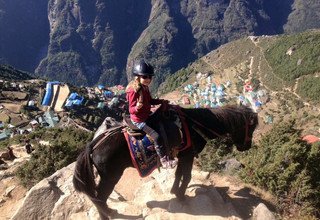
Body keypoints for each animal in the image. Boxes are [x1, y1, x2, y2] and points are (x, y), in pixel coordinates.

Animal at [72, 105, 258, 219]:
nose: (246, 147)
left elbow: (178, 174)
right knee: (99, 197)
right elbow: (187, 176)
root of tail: (93, 145)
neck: (193, 126)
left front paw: (175, 191)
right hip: (110, 177)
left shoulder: (182, 156)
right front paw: (182, 196)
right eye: (251, 128)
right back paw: (108, 213)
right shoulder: (188, 156)